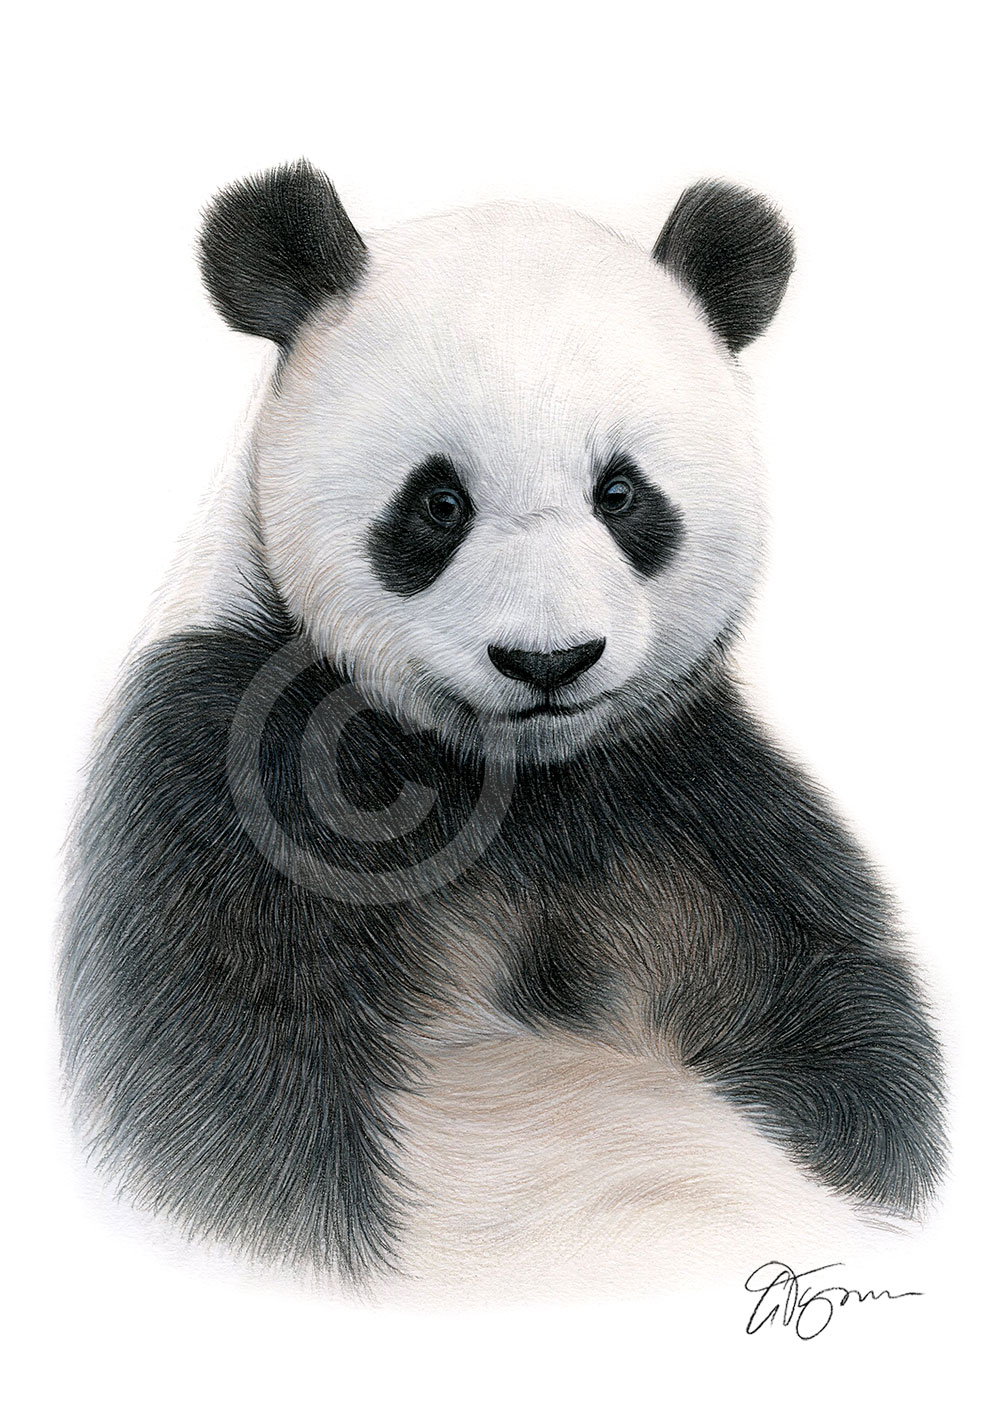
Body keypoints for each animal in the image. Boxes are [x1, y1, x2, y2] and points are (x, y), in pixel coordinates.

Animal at [60, 160, 945, 1297]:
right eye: (438, 503)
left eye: (621, 493)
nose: (548, 660)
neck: (502, 777)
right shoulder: (223, 762)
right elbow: (221, 1103)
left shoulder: (681, 794)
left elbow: (834, 1025)